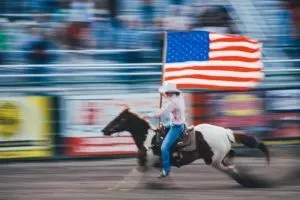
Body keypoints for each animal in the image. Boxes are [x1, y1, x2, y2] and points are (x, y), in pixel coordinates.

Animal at [102, 107, 270, 187]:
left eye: (119, 119)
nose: (104, 130)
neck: (149, 139)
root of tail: (225, 131)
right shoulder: (152, 164)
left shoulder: (145, 163)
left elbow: (132, 176)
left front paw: (117, 188)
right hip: (220, 158)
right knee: (232, 164)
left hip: (214, 161)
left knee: (231, 170)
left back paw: (248, 182)